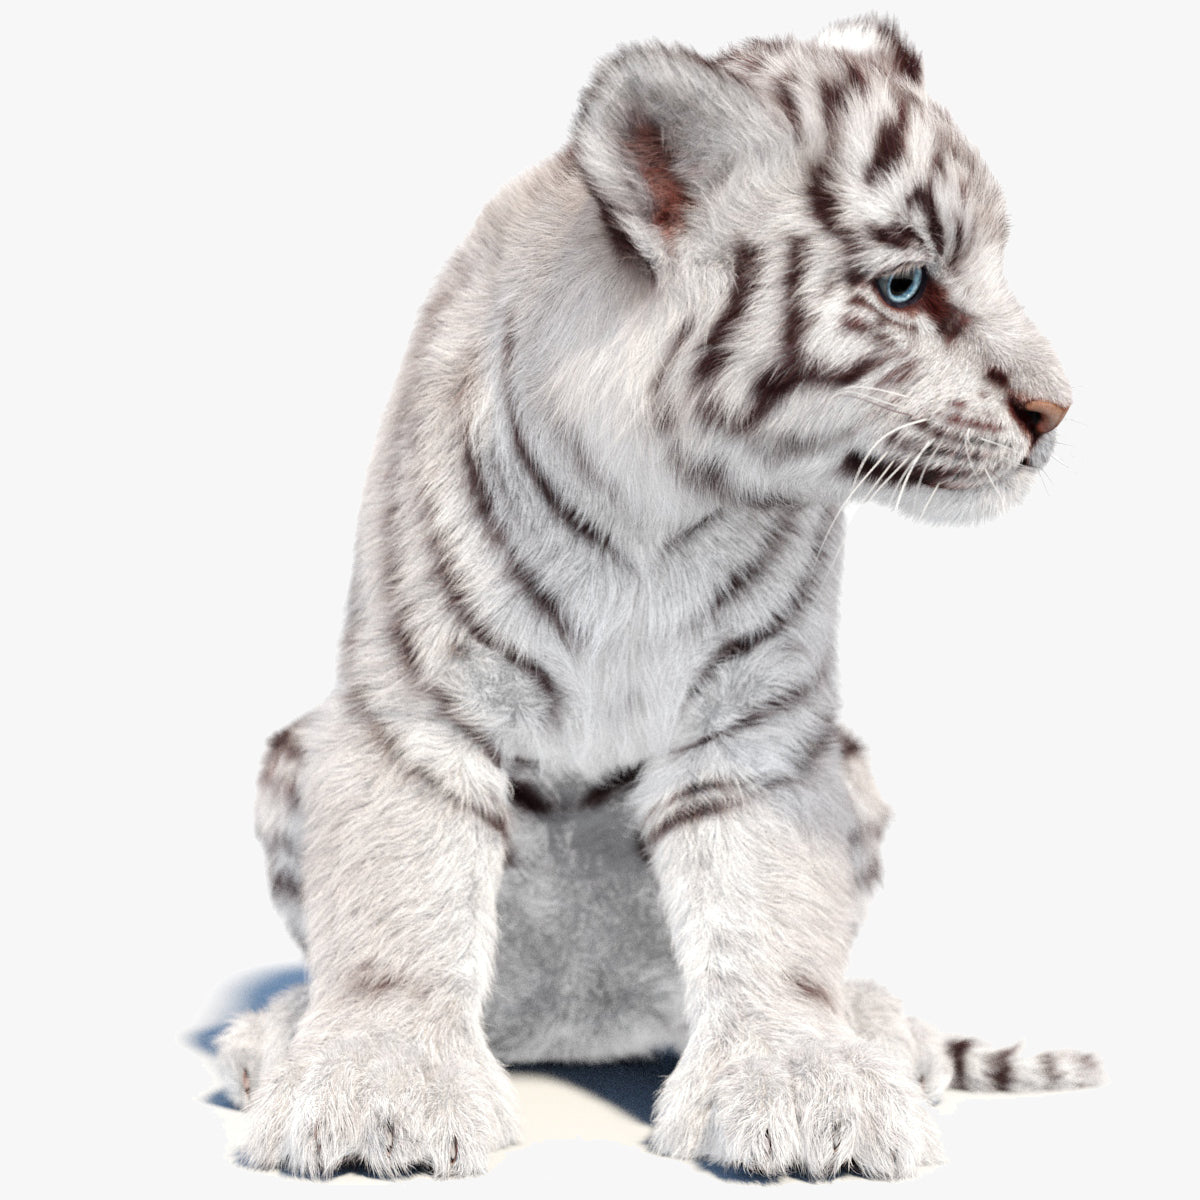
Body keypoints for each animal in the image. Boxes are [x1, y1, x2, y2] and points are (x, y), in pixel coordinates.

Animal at [213, 15, 1101, 1182]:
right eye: (906, 286)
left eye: (998, 262)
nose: (1056, 411)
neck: (664, 495)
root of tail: (579, 1024)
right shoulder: (420, 705)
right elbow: (402, 901)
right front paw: (375, 1096)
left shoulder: (758, 723)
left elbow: (770, 913)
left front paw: (812, 1088)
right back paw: (276, 1032)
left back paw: (880, 1028)